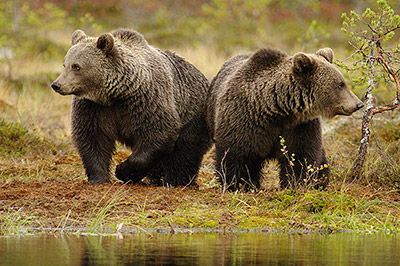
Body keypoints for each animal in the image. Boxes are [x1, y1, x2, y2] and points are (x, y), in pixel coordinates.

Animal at [51, 29, 211, 186]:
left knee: (184, 153)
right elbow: (93, 137)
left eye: (76, 66)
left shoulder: (146, 101)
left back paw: (178, 181)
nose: (56, 85)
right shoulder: (93, 107)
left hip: (192, 114)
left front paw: (122, 171)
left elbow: (158, 134)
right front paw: (99, 179)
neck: (115, 94)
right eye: (64, 64)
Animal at [208, 46, 364, 190]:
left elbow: (301, 157)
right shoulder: (244, 121)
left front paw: (295, 184)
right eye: (340, 84)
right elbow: (237, 156)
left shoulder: (300, 126)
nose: (359, 104)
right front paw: (240, 184)